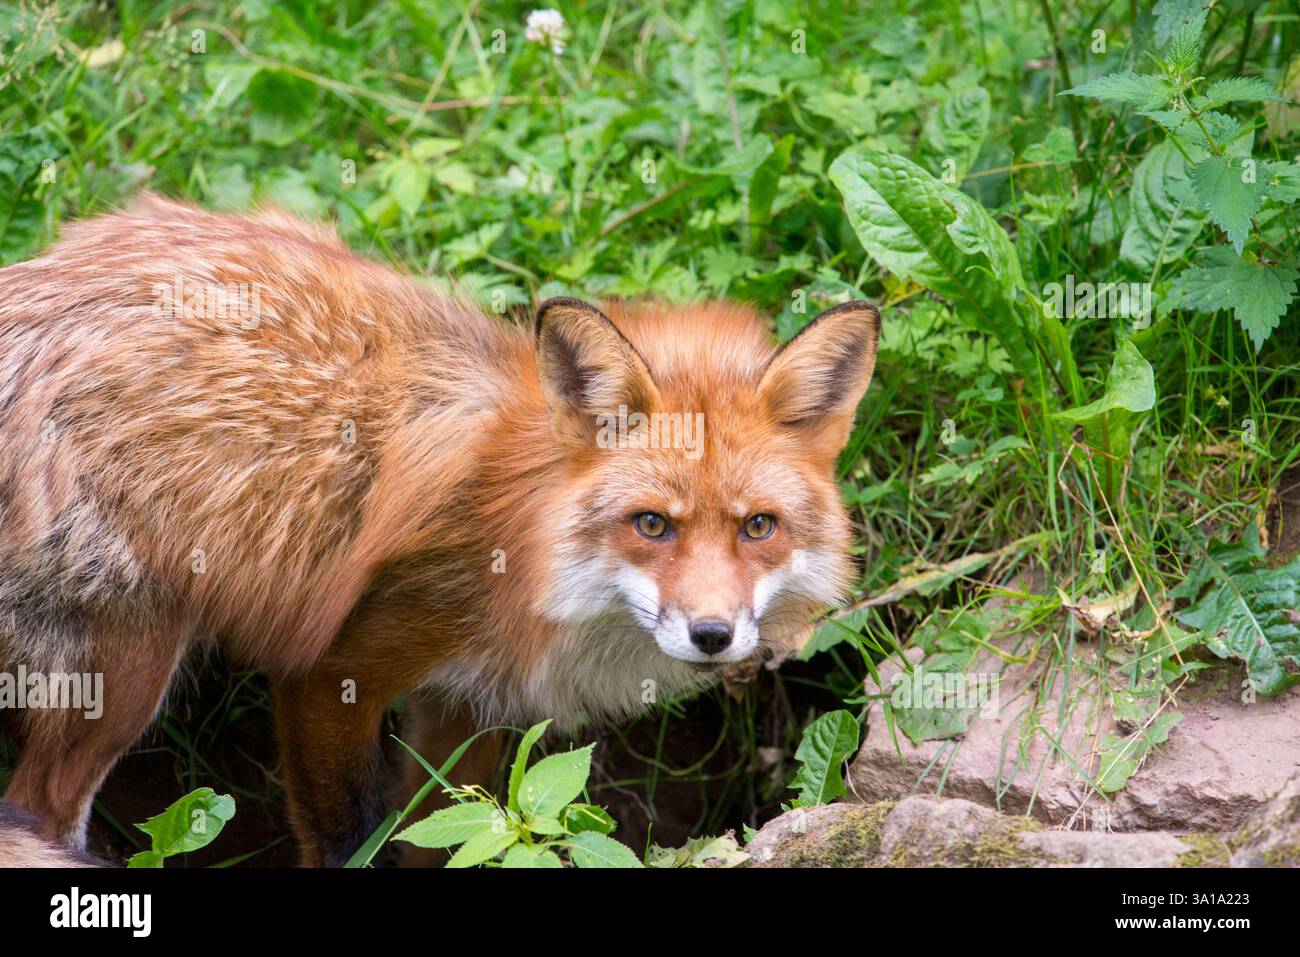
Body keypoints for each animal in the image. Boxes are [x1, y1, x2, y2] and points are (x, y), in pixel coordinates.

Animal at [0, 195, 879, 866]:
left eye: (758, 525)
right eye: (652, 523)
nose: (712, 634)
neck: (518, 537)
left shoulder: (472, 708)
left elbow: (448, 834)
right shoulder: (332, 673)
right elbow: (348, 838)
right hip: (125, 669)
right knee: (37, 807)